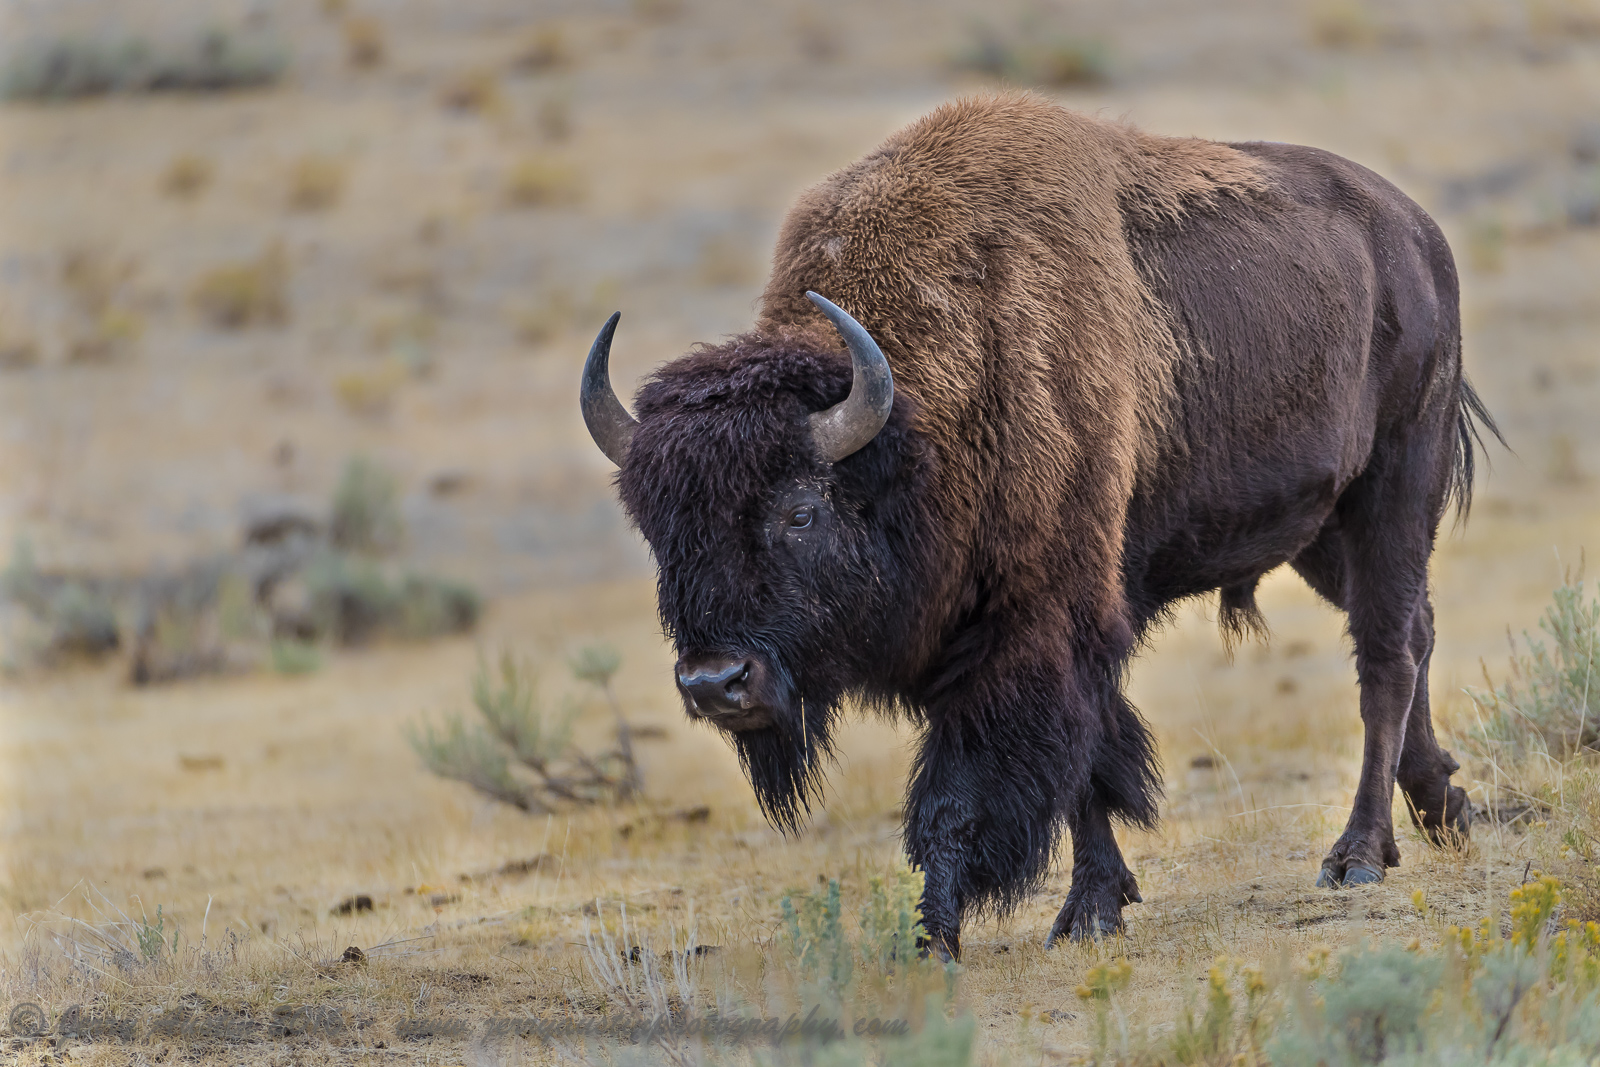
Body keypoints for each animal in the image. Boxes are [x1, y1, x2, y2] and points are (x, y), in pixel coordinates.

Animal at [577, 92, 1498, 958]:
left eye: (800, 509)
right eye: (657, 528)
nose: (714, 682)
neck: (914, 427)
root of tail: (1417, 234)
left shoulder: (1037, 631)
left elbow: (977, 793)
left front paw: (962, 934)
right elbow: (1082, 770)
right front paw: (1081, 907)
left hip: (1393, 487)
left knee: (1386, 654)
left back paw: (1357, 854)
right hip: (1319, 532)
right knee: (1414, 628)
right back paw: (1443, 807)